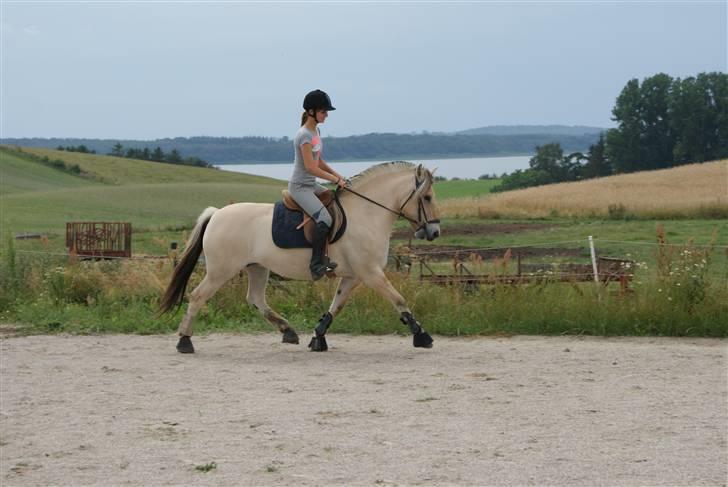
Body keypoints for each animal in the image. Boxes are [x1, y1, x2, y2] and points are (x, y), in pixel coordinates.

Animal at [159, 162, 440, 352]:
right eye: (427, 197)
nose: (435, 232)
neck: (366, 213)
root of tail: (216, 213)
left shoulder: (353, 276)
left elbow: (336, 306)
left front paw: (318, 338)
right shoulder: (370, 273)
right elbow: (399, 299)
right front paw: (422, 335)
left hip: (257, 267)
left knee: (255, 299)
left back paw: (288, 331)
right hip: (221, 271)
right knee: (198, 297)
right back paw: (185, 341)